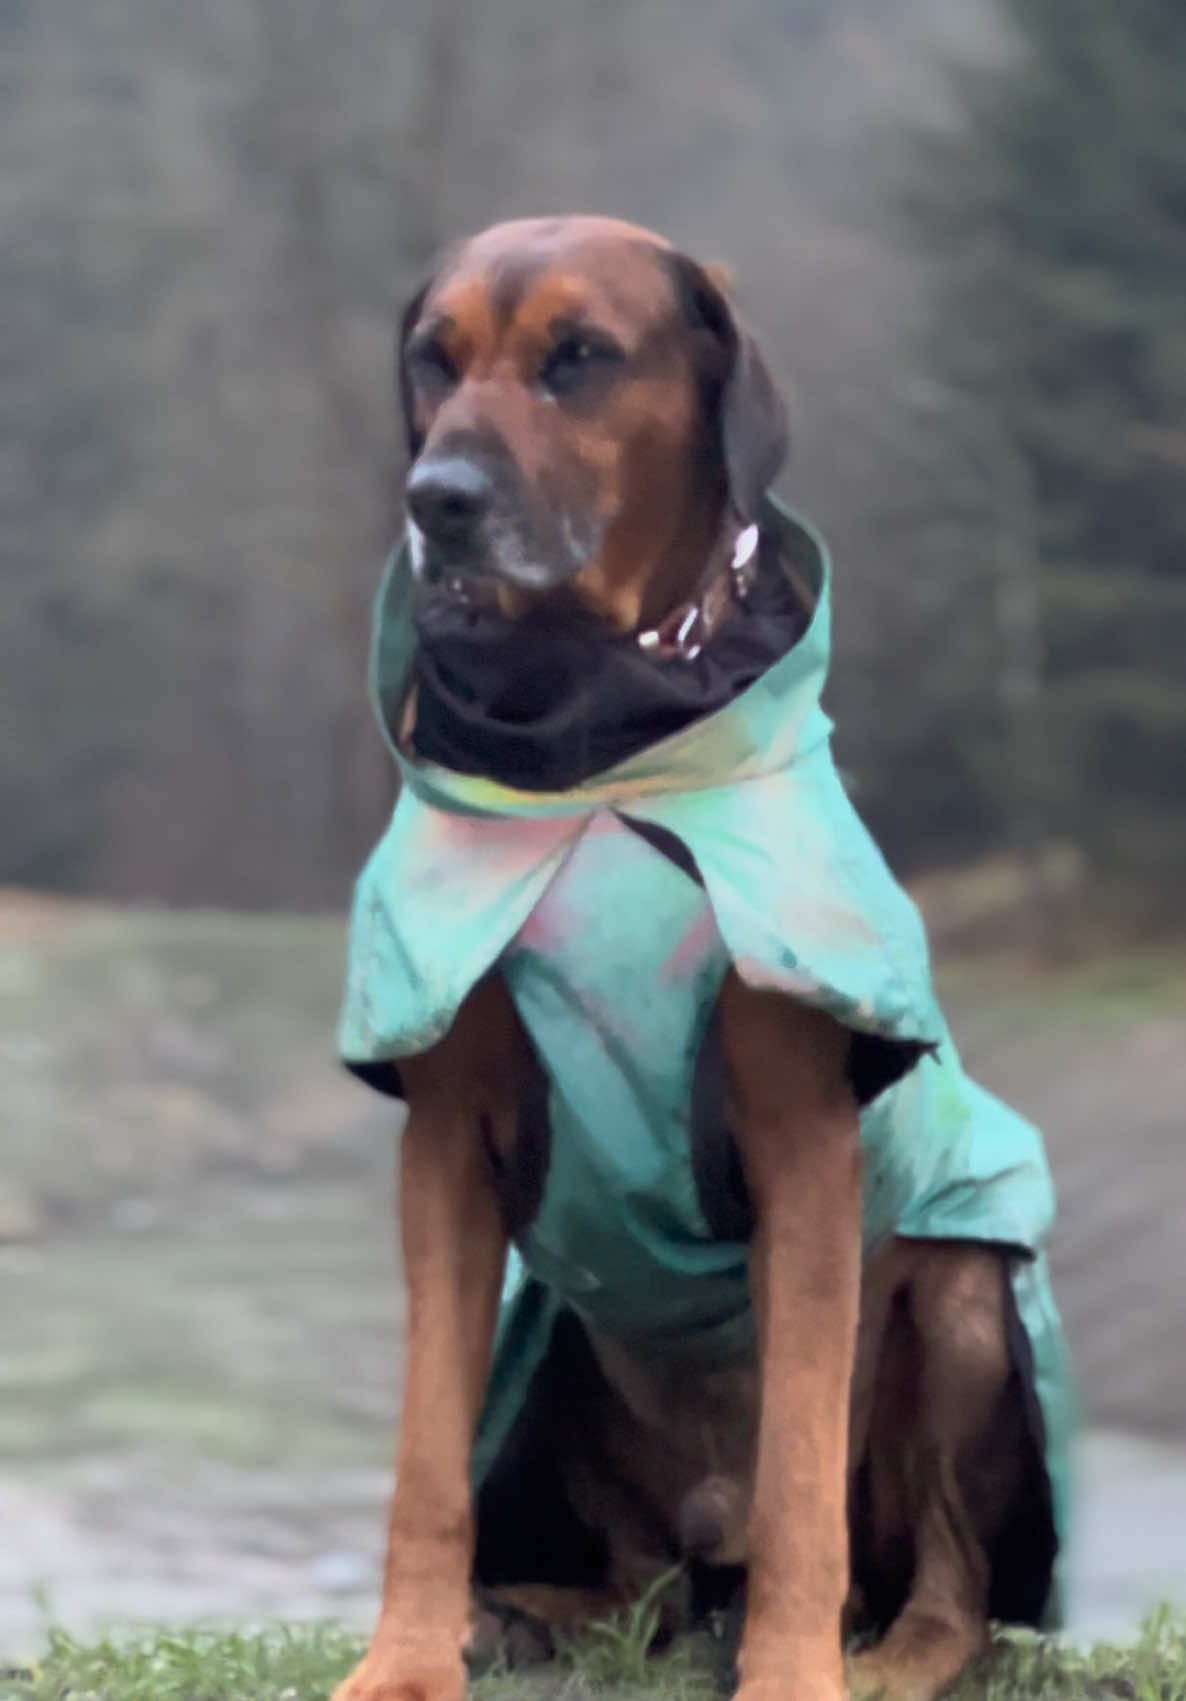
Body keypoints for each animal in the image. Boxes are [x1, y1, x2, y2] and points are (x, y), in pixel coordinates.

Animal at [330, 222, 1054, 1701]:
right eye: (433, 357)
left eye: (580, 358)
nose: (438, 498)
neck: (594, 741)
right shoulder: (445, 1144)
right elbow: (426, 1457)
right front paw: (406, 1661)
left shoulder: (801, 1143)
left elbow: (798, 1476)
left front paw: (788, 1678)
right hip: (561, 1355)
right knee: (633, 1587)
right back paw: (522, 1613)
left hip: (963, 1295)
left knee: (943, 1581)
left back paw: (878, 1656)